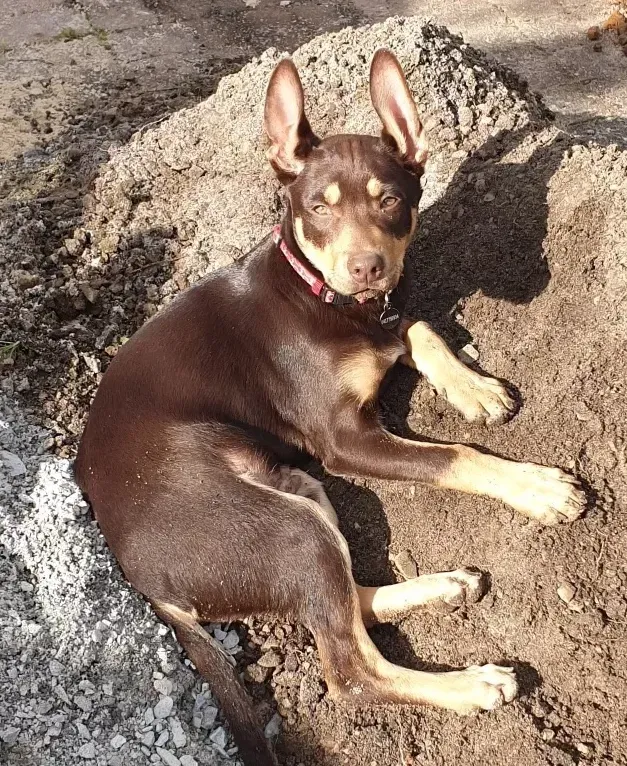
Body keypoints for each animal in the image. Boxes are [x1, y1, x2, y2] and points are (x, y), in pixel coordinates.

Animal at [75, 52, 588, 766]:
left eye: (390, 200)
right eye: (318, 207)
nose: (368, 268)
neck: (323, 297)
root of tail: (140, 578)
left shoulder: (385, 325)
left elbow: (419, 328)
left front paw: (474, 388)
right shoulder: (346, 440)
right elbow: (454, 454)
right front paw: (537, 488)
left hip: (300, 495)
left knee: (345, 602)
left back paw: (442, 586)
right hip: (286, 524)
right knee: (349, 671)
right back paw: (471, 685)